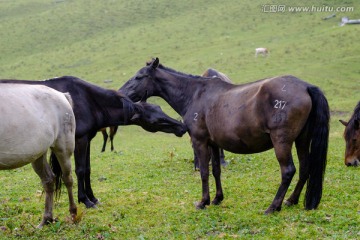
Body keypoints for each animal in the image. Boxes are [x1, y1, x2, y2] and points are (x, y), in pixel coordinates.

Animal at [0, 77, 186, 208]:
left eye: (160, 109)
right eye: (155, 121)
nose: (182, 128)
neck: (88, 100)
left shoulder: (87, 139)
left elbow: (88, 169)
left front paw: (93, 197)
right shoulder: (80, 140)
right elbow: (80, 170)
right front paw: (85, 200)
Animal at [0, 85, 77, 229]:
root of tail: (62, 95)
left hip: (63, 148)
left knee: (67, 179)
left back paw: (73, 214)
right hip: (39, 155)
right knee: (49, 180)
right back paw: (46, 220)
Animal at [120, 58, 330, 214]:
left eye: (139, 76)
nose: (121, 93)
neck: (195, 94)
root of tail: (305, 86)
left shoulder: (200, 141)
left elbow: (204, 172)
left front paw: (203, 202)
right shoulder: (213, 144)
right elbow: (216, 170)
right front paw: (217, 198)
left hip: (282, 142)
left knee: (288, 171)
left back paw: (273, 206)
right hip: (301, 140)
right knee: (304, 168)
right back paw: (291, 200)